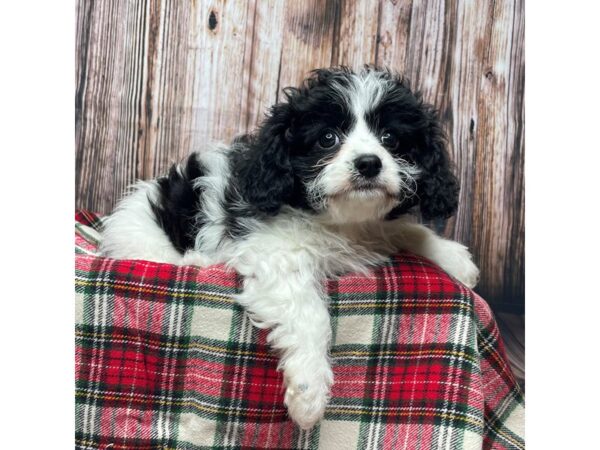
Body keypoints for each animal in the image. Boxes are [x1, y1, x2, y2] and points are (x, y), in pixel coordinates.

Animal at [101, 66, 480, 428]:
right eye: (327, 138)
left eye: (391, 138)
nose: (369, 162)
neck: (339, 221)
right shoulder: (275, 255)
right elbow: (310, 314)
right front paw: (309, 392)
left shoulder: (375, 225)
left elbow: (405, 228)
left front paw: (452, 257)